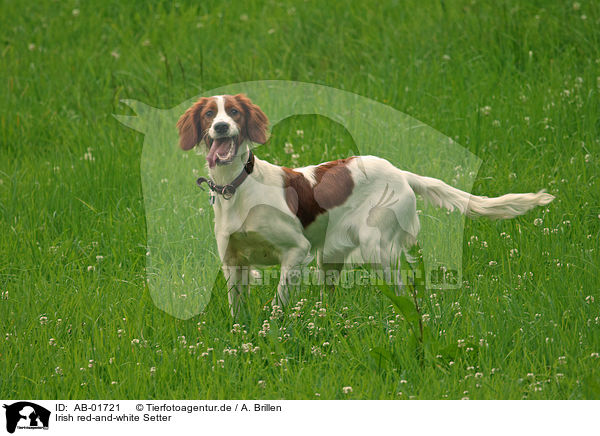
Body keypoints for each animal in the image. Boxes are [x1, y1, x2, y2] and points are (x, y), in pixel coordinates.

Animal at [176, 93, 556, 316]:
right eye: (209, 114)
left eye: (234, 112)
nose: (221, 126)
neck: (237, 188)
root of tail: (400, 172)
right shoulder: (233, 262)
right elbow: (237, 313)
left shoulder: (296, 251)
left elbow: (279, 304)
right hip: (330, 256)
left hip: (378, 249)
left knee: (404, 293)